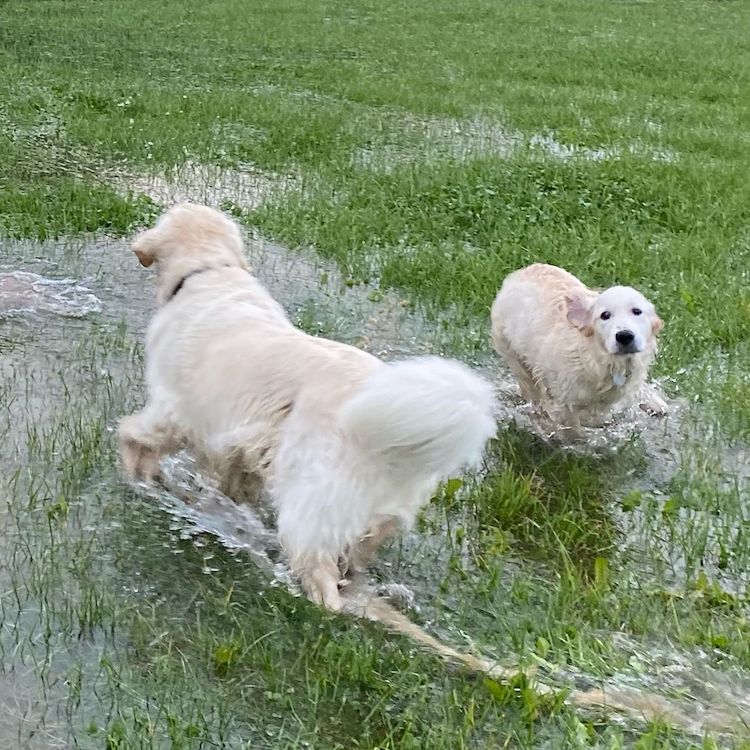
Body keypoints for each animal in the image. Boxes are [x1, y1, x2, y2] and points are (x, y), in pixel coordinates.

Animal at [119, 204, 500, 612]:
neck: (210, 270)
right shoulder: (240, 442)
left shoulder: (177, 407)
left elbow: (138, 435)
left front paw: (135, 470)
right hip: (374, 512)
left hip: (312, 497)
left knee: (318, 570)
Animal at [494, 262, 668, 428]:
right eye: (605, 315)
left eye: (637, 311)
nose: (624, 336)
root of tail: (518, 273)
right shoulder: (564, 401)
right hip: (514, 356)